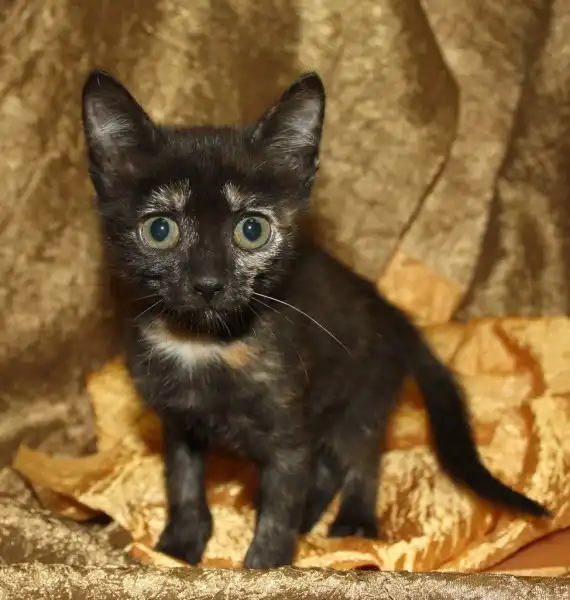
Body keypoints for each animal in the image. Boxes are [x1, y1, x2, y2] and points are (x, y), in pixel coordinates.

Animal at [82, 69, 549, 569]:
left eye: (251, 229)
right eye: (159, 229)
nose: (208, 283)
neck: (208, 344)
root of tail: (386, 306)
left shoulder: (289, 431)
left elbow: (280, 508)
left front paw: (265, 566)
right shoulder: (178, 421)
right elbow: (183, 481)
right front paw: (180, 545)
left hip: (366, 393)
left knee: (360, 456)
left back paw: (354, 520)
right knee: (328, 464)